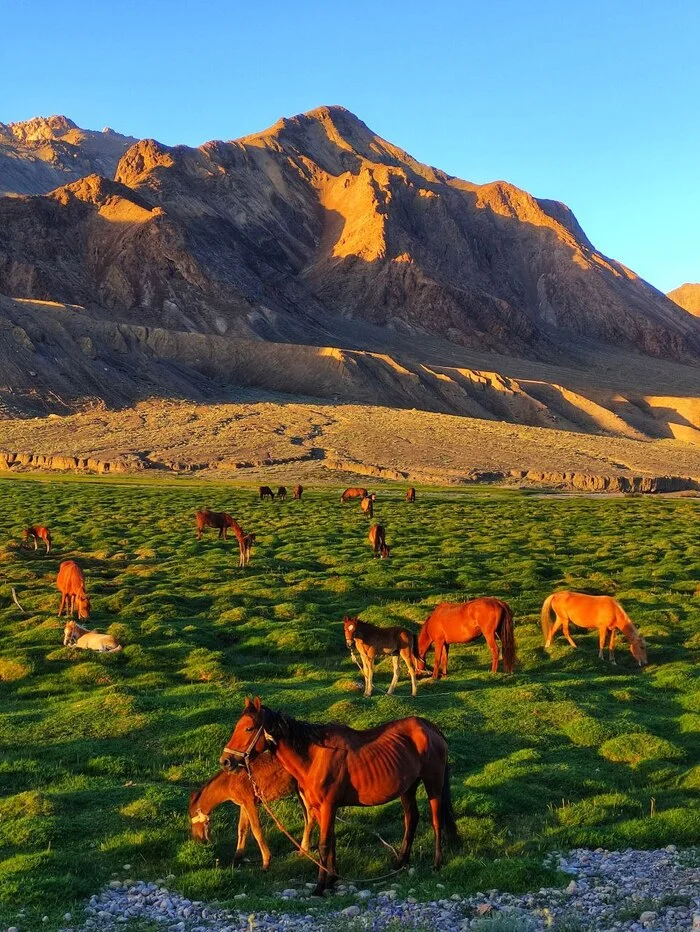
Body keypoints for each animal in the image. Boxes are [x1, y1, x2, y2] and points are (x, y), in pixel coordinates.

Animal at [220, 700, 460, 896]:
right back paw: (400, 861)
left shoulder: (327, 806)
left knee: (436, 821)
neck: (314, 756)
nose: (225, 761)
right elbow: (331, 841)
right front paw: (332, 879)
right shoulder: (321, 808)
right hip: (408, 788)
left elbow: (324, 844)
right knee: (411, 819)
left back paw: (437, 863)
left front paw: (320, 887)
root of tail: (431, 728)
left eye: (248, 728)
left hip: (433, 783)